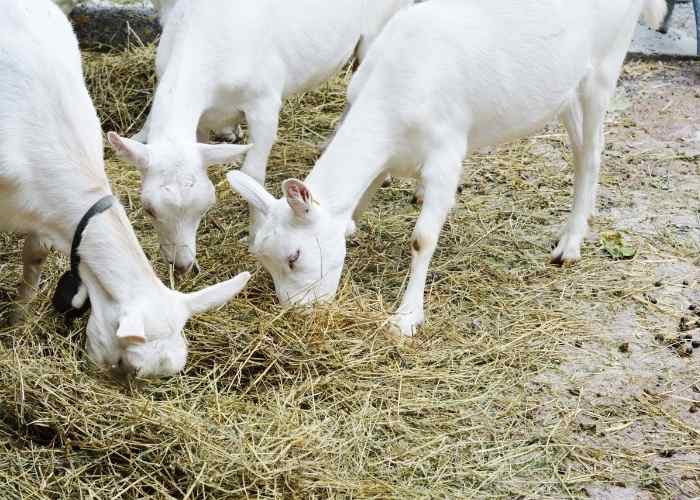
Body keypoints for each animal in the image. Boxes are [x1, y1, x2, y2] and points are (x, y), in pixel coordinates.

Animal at [109, 0, 415, 274]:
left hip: (378, 29)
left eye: (205, 207)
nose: (182, 267)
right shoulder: (201, 122)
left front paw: (253, 236)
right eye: (148, 209)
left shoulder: (264, 104)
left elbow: (253, 174)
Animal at [227, 0, 667, 336]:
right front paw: (352, 227)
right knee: (579, 145)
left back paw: (570, 244)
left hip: (604, 68)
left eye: (294, 256)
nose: (299, 313)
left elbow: (422, 238)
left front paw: (405, 319)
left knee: (591, 153)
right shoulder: (390, 153)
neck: (394, 89)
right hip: (569, 89)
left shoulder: (445, 156)